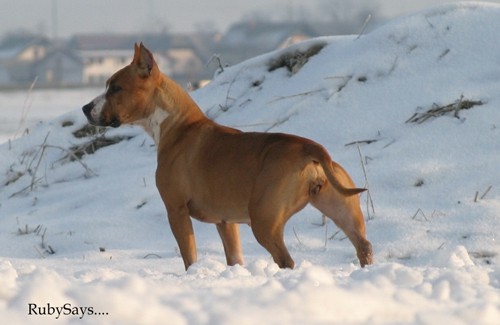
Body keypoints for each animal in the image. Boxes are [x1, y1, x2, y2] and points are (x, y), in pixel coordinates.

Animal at [82, 43, 374, 270]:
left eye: (115, 88)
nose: (85, 107)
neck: (177, 125)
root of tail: (309, 147)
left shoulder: (176, 211)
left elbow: (189, 257)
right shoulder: (226, 223)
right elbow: (234, 258)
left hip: (265, 222)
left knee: (286, 260)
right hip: (342, 210)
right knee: (363, 245)